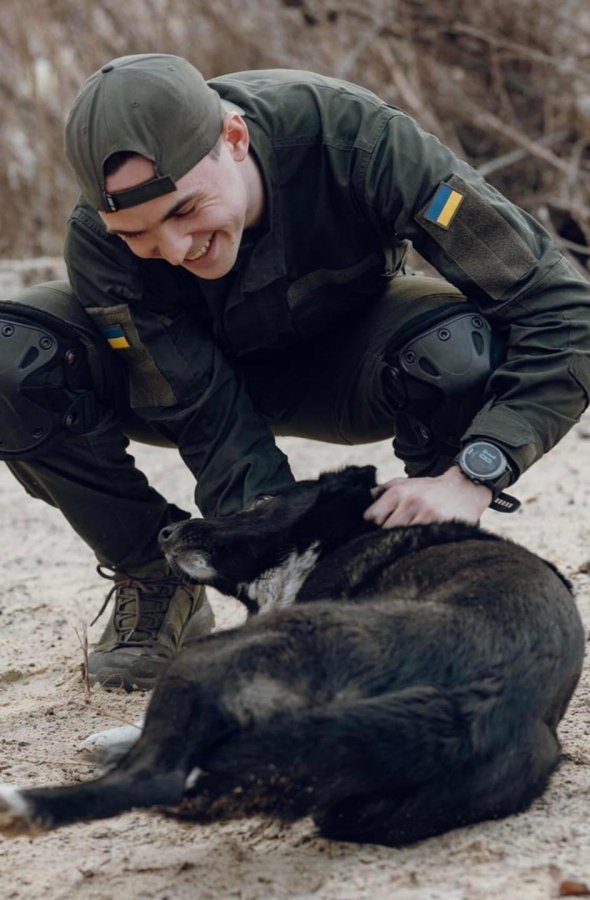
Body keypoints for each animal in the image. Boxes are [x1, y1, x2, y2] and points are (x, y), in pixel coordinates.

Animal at [0, 468, 584, 848]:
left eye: (260, 500)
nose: (165, 532)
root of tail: (471, 707)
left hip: (223, 655)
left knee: (155, 777)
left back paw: (23, 804)